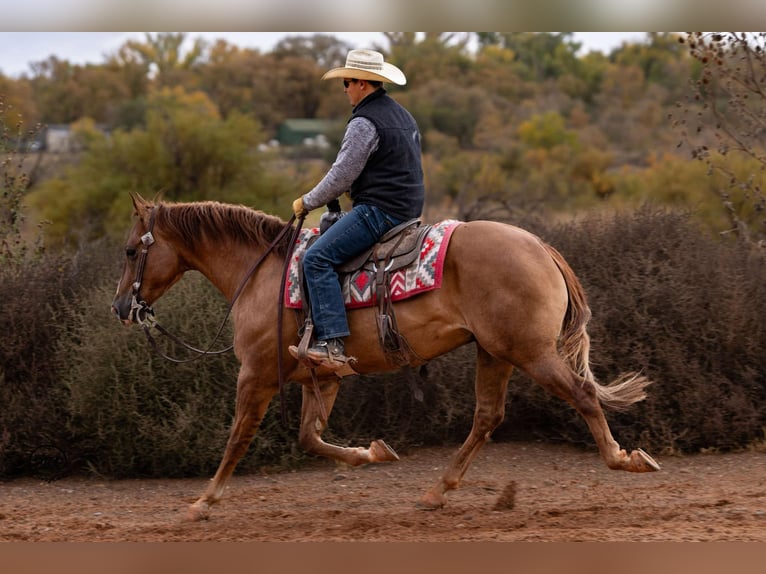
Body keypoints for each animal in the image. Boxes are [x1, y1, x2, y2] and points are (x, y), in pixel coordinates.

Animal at [109, 194, 660, 520]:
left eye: (132, 250)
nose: (120, 308)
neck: (261, 273)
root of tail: (542, 247)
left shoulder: (257, 375)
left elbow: (237, 438)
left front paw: (205, 500)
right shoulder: (322, 378)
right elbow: (310, 438)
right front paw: (372, 453)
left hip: (531, 353)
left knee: (583, 395)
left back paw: (625, 459)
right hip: (495, 353)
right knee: (487, 417)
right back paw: (437, 490)